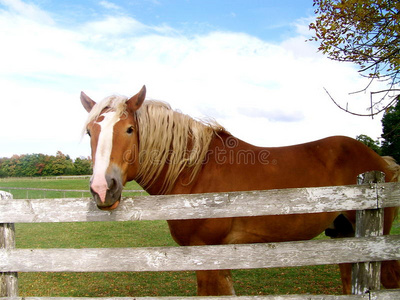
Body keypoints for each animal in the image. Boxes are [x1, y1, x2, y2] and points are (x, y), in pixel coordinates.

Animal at [81, 85, 400, 296]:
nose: (102, 189)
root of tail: (378, 160)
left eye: (129, 129)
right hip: (346, 236)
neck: (194, 171)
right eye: (89, 132)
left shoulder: (207, 254)